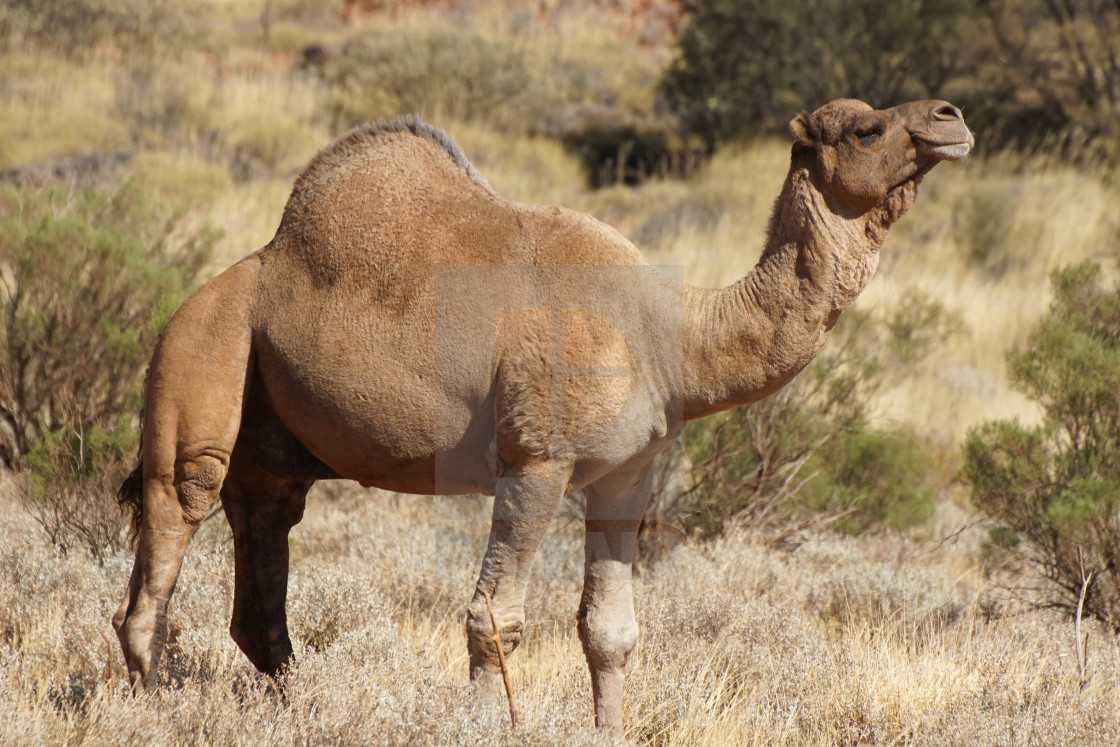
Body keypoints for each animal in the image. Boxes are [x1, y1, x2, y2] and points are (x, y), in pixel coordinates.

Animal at [111, 96, 972, 734]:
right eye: (867, 127)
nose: (951, 116)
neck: (668, 331)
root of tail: (228, 278)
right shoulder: (535, 461)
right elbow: (495, 616)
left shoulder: (627, 477)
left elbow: (610, 631)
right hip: (203, 352)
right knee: (171, 525)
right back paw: (152, 708)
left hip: (274, 443)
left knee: (263, 546)